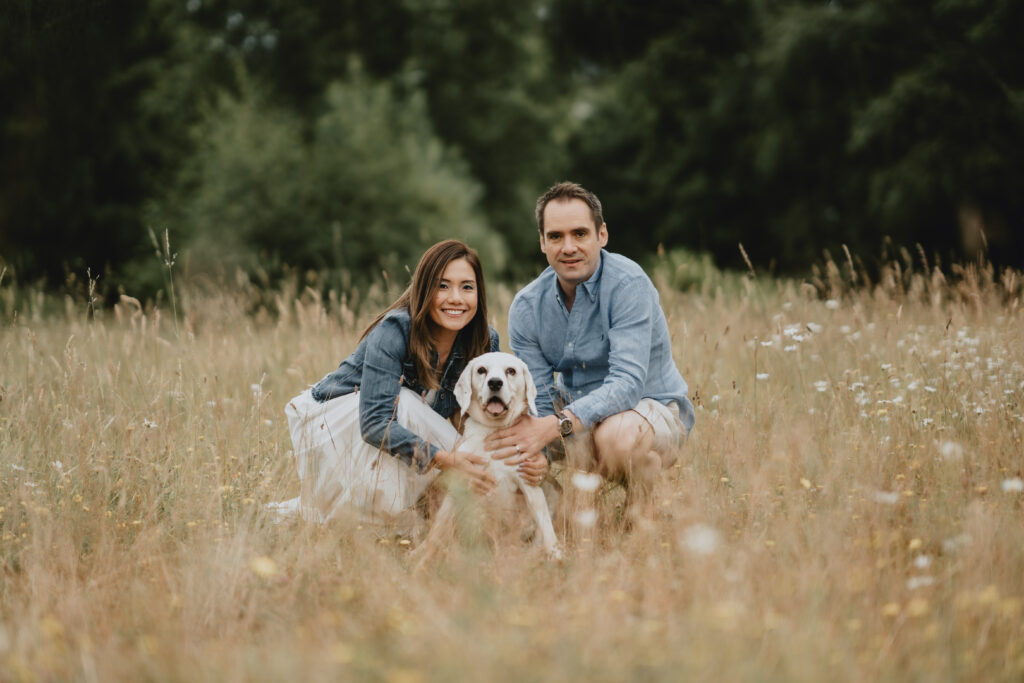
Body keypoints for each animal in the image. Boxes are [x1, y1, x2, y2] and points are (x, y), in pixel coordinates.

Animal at [413, 352, 565, 561]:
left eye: (511, 371)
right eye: (481, 370)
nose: (494, 383)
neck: (492, 431)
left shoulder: (529, 485)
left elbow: (546, 526)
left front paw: (556, 553)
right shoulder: (462, 480)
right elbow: (439, 527)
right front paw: (423, 553)